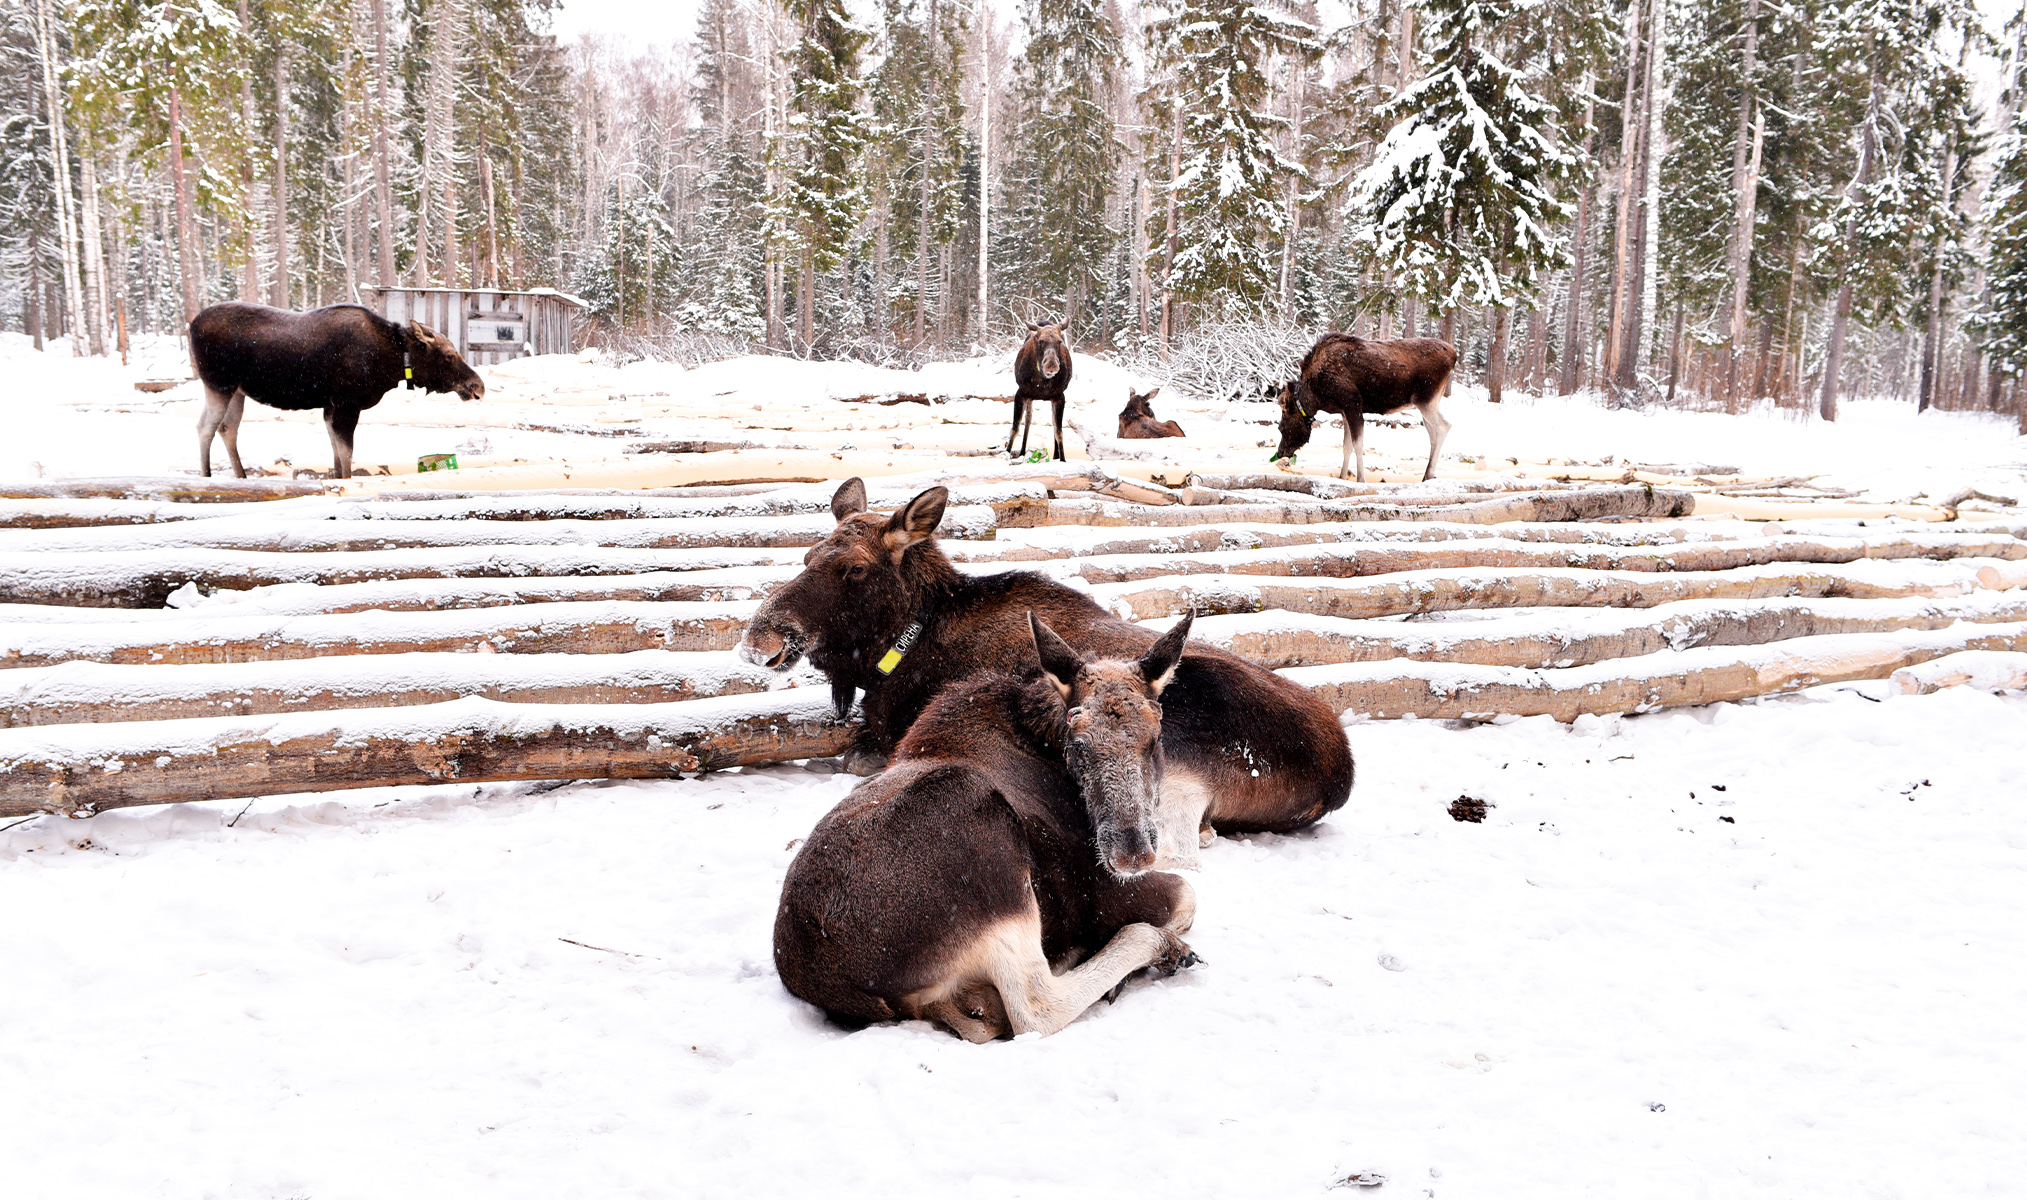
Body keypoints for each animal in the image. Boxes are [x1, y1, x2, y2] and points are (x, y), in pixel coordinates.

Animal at [190, 302, 490, 480]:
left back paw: (241, 476)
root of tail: (191, 324)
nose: (478, 386)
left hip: (236, 391)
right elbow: (347, 455)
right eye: (449, 356)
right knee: (205, 427)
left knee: (227, 428)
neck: (392, 361)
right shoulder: (347, 404)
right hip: (219, 385)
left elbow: (336, 453)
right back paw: (206, 476)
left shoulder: (330, 407)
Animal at [766, 612, 1191, 1037]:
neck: (1044, 746)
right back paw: (1154, 949)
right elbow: (1187, 895)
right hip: (988, 841)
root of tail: (843, 988)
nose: (1132, 851)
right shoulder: (1096, 887)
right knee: (1034, 1006)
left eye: (1155, 739)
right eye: (1078, 745)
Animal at [1013, 318, 1078, 460]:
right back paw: (1022, 452)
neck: (1043, 381)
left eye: (1059, 341)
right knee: (1028, 421)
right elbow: (1015, 428)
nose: (1051, 364)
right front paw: (1007, 452)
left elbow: (1059, 431)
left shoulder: (1059, 396)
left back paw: (1055, 456)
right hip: (1029, 398)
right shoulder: (1021, 392)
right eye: (1040, 341)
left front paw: (1062, 459)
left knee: (1053, 424)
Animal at [1272, 332, 1451, 482]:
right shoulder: (1344, 411)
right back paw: (1429, 474)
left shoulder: (1353, 403)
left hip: (1425, 399)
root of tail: (1454, 355)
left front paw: (1361, 479)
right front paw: (1342, 476)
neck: (1316, 396)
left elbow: (1358, 444)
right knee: (1432, 434)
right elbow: (1346, 446)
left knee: (1444, 426)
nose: (1280, 452)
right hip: (1430, 402)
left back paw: (1428, 474)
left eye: (1281, 427)